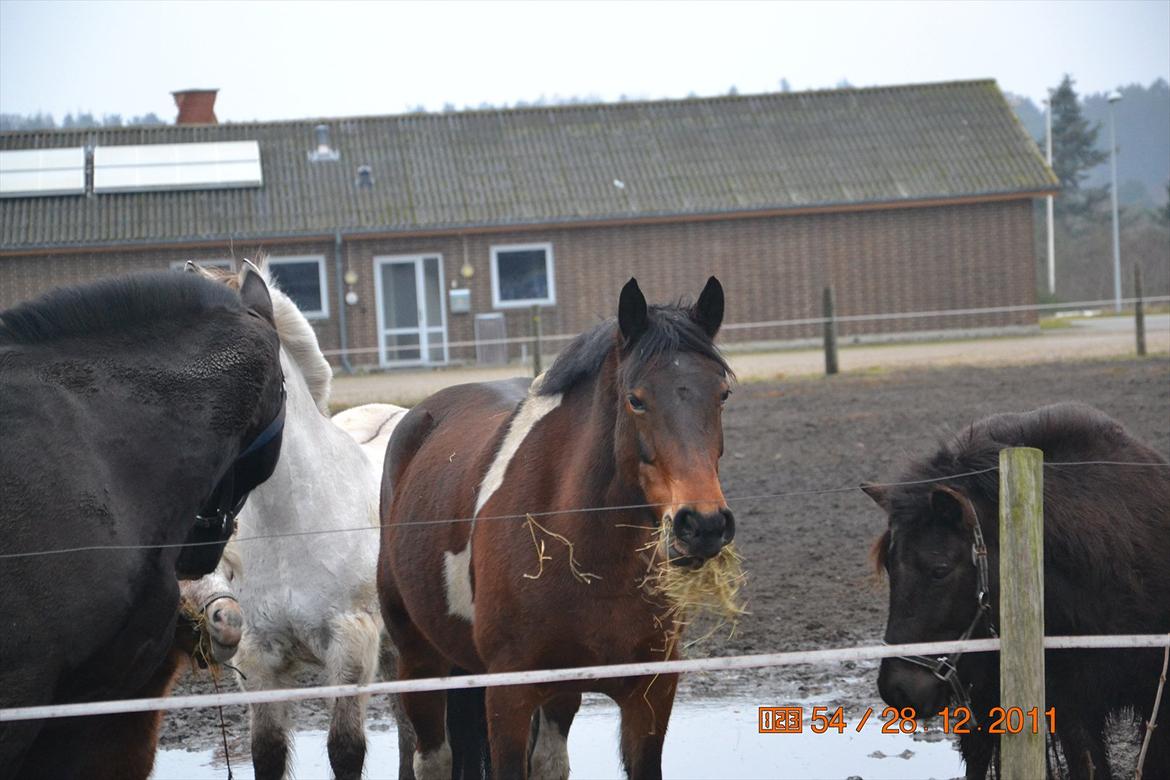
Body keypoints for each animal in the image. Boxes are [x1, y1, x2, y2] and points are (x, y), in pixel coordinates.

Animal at [379, 277, 734, 776]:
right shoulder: (509, 695)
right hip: (419, 662)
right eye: (636, 399)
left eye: (721, 394)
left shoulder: (650, 694)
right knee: (432, 759)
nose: (702, 523)